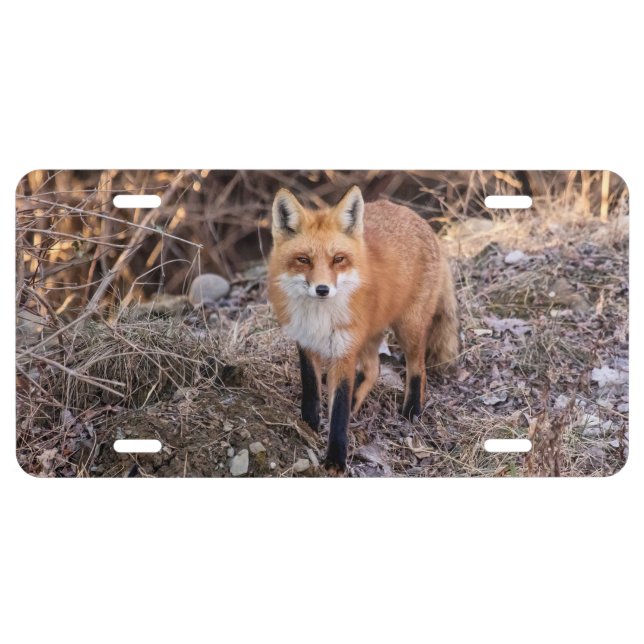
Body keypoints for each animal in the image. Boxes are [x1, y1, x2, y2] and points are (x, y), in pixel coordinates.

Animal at [267, 185, 459, 474]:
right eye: (303, 260)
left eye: (338, 259)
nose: (322, 289)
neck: (319, 317)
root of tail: (418, 218)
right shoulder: (306, 341)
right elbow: (311, 387)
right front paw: (309, 423)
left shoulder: (344, 351)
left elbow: (339, 410)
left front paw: (335, 460)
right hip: (369, 333)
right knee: (373, 369)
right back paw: (358, 403)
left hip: (408, 327)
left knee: (418, 368)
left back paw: (412, 410)